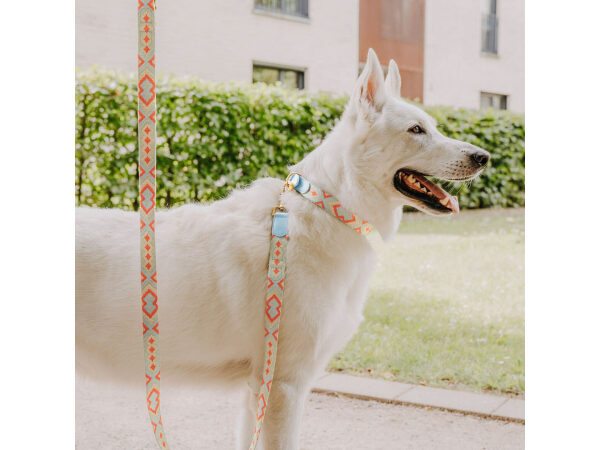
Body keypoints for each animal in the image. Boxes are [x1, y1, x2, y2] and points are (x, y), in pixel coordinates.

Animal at [76, 49, 488, 450]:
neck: (330, 207)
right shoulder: (283, 387)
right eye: (416, 130)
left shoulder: (257, 393)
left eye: (433, 126)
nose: (483, 157)